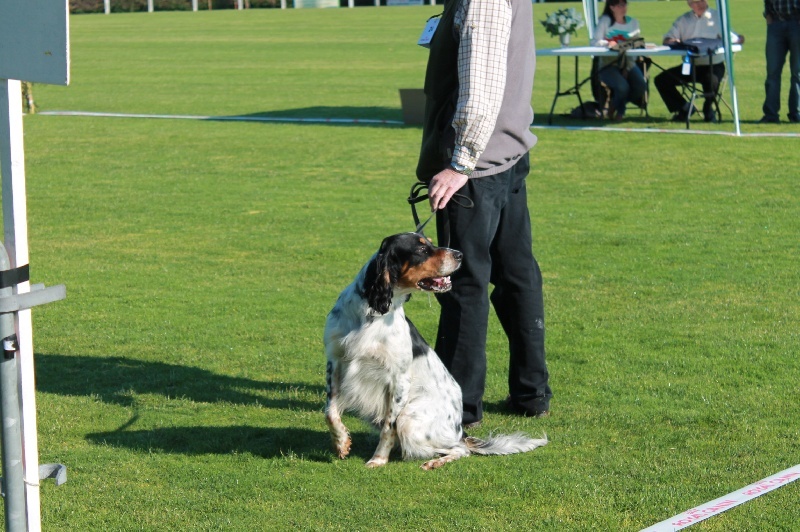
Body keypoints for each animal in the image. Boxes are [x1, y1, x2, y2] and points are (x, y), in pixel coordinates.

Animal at [322, 233, 548, 470]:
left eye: (430, 242)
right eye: (421, 250)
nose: (459, 254)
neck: (370, 314)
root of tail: (460, 430)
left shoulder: (399, 379)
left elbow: (388, 427)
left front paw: (378, 459)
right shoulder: (334, 362)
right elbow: (330, 411)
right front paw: (341, 443)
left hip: (411, 420)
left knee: (461, 449)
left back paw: (435, 462)